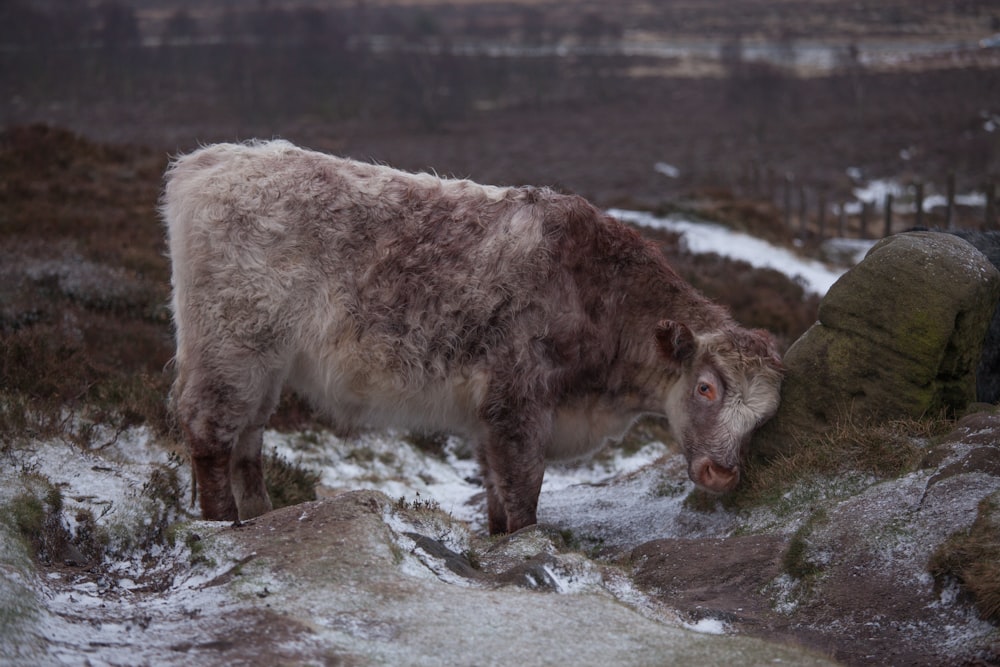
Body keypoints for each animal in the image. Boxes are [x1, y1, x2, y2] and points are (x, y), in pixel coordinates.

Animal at [164, 140, 784, 532]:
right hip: (229, 347)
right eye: (706, 388)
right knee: (211, 433)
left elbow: (495, 495)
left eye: (764, 416)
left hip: (263, 363)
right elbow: (522, 493)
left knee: (248, 439)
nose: (722, 474)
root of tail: (208, 162)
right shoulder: (518, 406)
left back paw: (260, 514)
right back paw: (223, 524)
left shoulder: (489, 418)